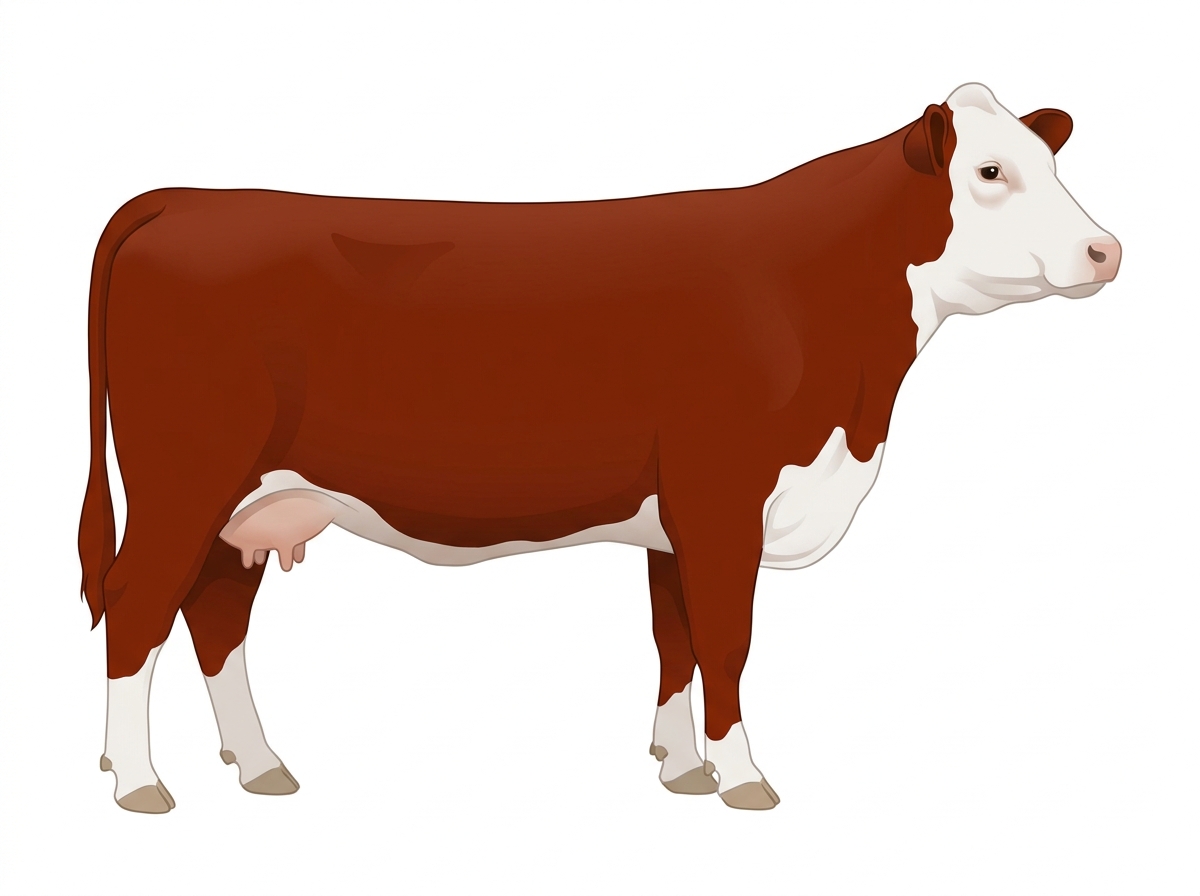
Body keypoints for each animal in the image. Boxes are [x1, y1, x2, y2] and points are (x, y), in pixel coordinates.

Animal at [78, 83, 1120, 813]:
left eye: (1049, 158)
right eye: (991, 173)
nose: (1106, 250)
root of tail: (185, 199)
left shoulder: (675, 520)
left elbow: (676, 641)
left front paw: (681, 766)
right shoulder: (723, 498)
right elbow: (728, 643)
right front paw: (744, 777)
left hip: (249, 503)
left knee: (215, 615)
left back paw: (259, 766)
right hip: (186, 478)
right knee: (138, 609)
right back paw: (139, 782)